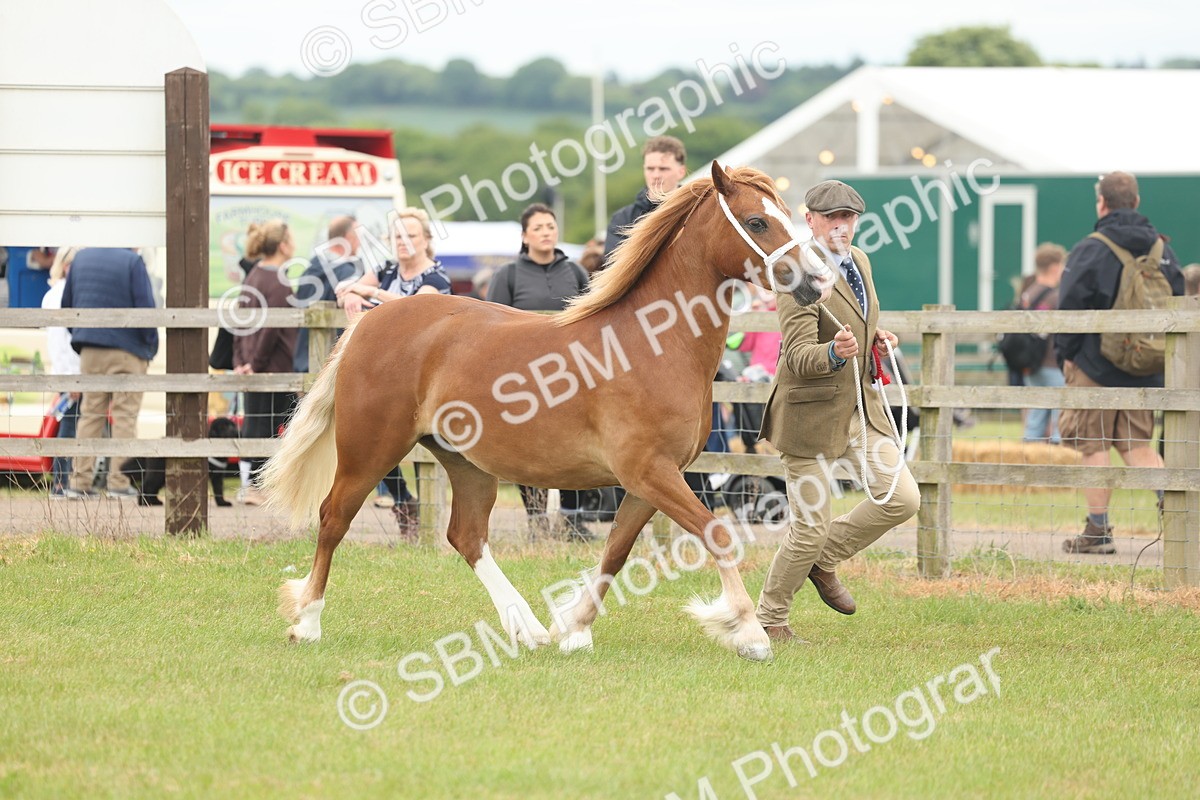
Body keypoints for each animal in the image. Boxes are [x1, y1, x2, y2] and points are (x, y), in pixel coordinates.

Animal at [264, 162, 835, 661]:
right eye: (757, 221)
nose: (819, 280)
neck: (652, 343)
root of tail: (372, 319)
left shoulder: (649, 481)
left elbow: (615, 553)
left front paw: (574, 629)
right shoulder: (650, 472)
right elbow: (715, 533)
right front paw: (748, 633)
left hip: (466, 462)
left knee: (466, 537)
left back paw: (528, 628)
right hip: (370, 450)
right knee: (333, 518)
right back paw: (307, 623)